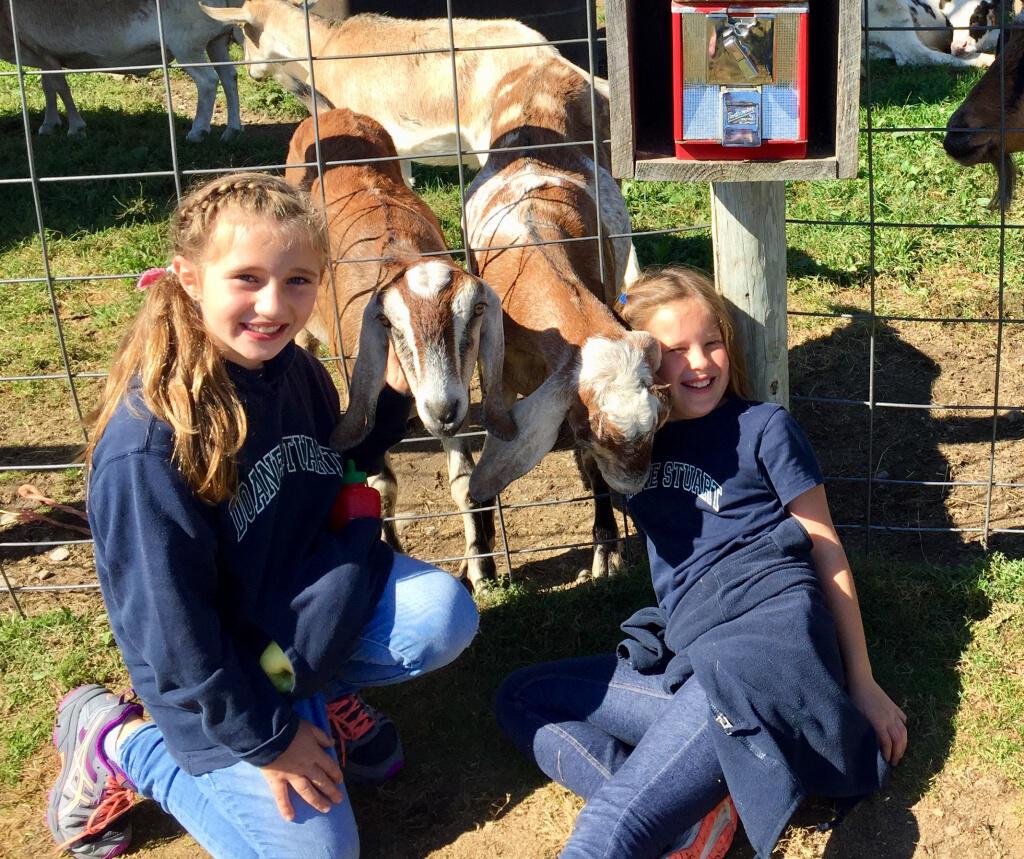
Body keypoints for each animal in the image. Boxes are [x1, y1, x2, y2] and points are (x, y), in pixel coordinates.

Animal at [1, 0, 242, 141]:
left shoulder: (44, 52)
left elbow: (61, 88)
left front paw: (76, 127)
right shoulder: (41, 52)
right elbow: (48, 87)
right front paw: (49, 125)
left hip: (186, 43)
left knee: (208, 81)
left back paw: (197, 131)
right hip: (216, 40)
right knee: (229, 76)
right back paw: (232, 130)